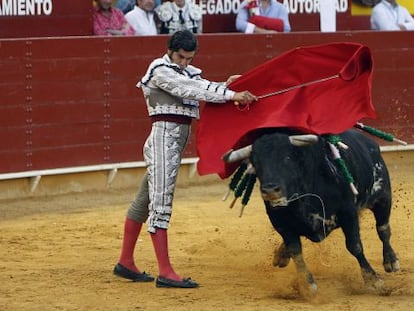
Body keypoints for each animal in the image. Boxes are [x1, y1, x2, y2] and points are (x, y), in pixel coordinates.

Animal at [225, 129, 400, 294]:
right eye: (256, 163)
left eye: (287, 158)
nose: (270, 190)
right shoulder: (281, 224)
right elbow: (296, 251)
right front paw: (308, 285)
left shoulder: (348, 214)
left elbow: (355, 246)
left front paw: (373, 280)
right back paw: (281, 255)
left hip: (383, 197)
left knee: (383, 229)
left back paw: (391, 261)